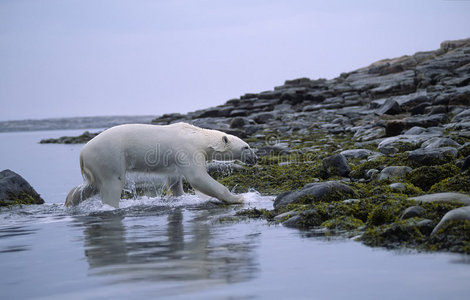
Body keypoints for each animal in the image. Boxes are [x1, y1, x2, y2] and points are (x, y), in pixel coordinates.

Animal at [64, 123, 258, 207]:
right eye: (246, 147)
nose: (255, 158)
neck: (197, 136)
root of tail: (82, 154)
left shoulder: (176, 160)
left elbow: (175, 181)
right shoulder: (188, 151)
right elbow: (198, 178)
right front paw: (238, 197)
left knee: (92, 186)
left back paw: (70, 202)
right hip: (109, 157)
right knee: (112, 183)